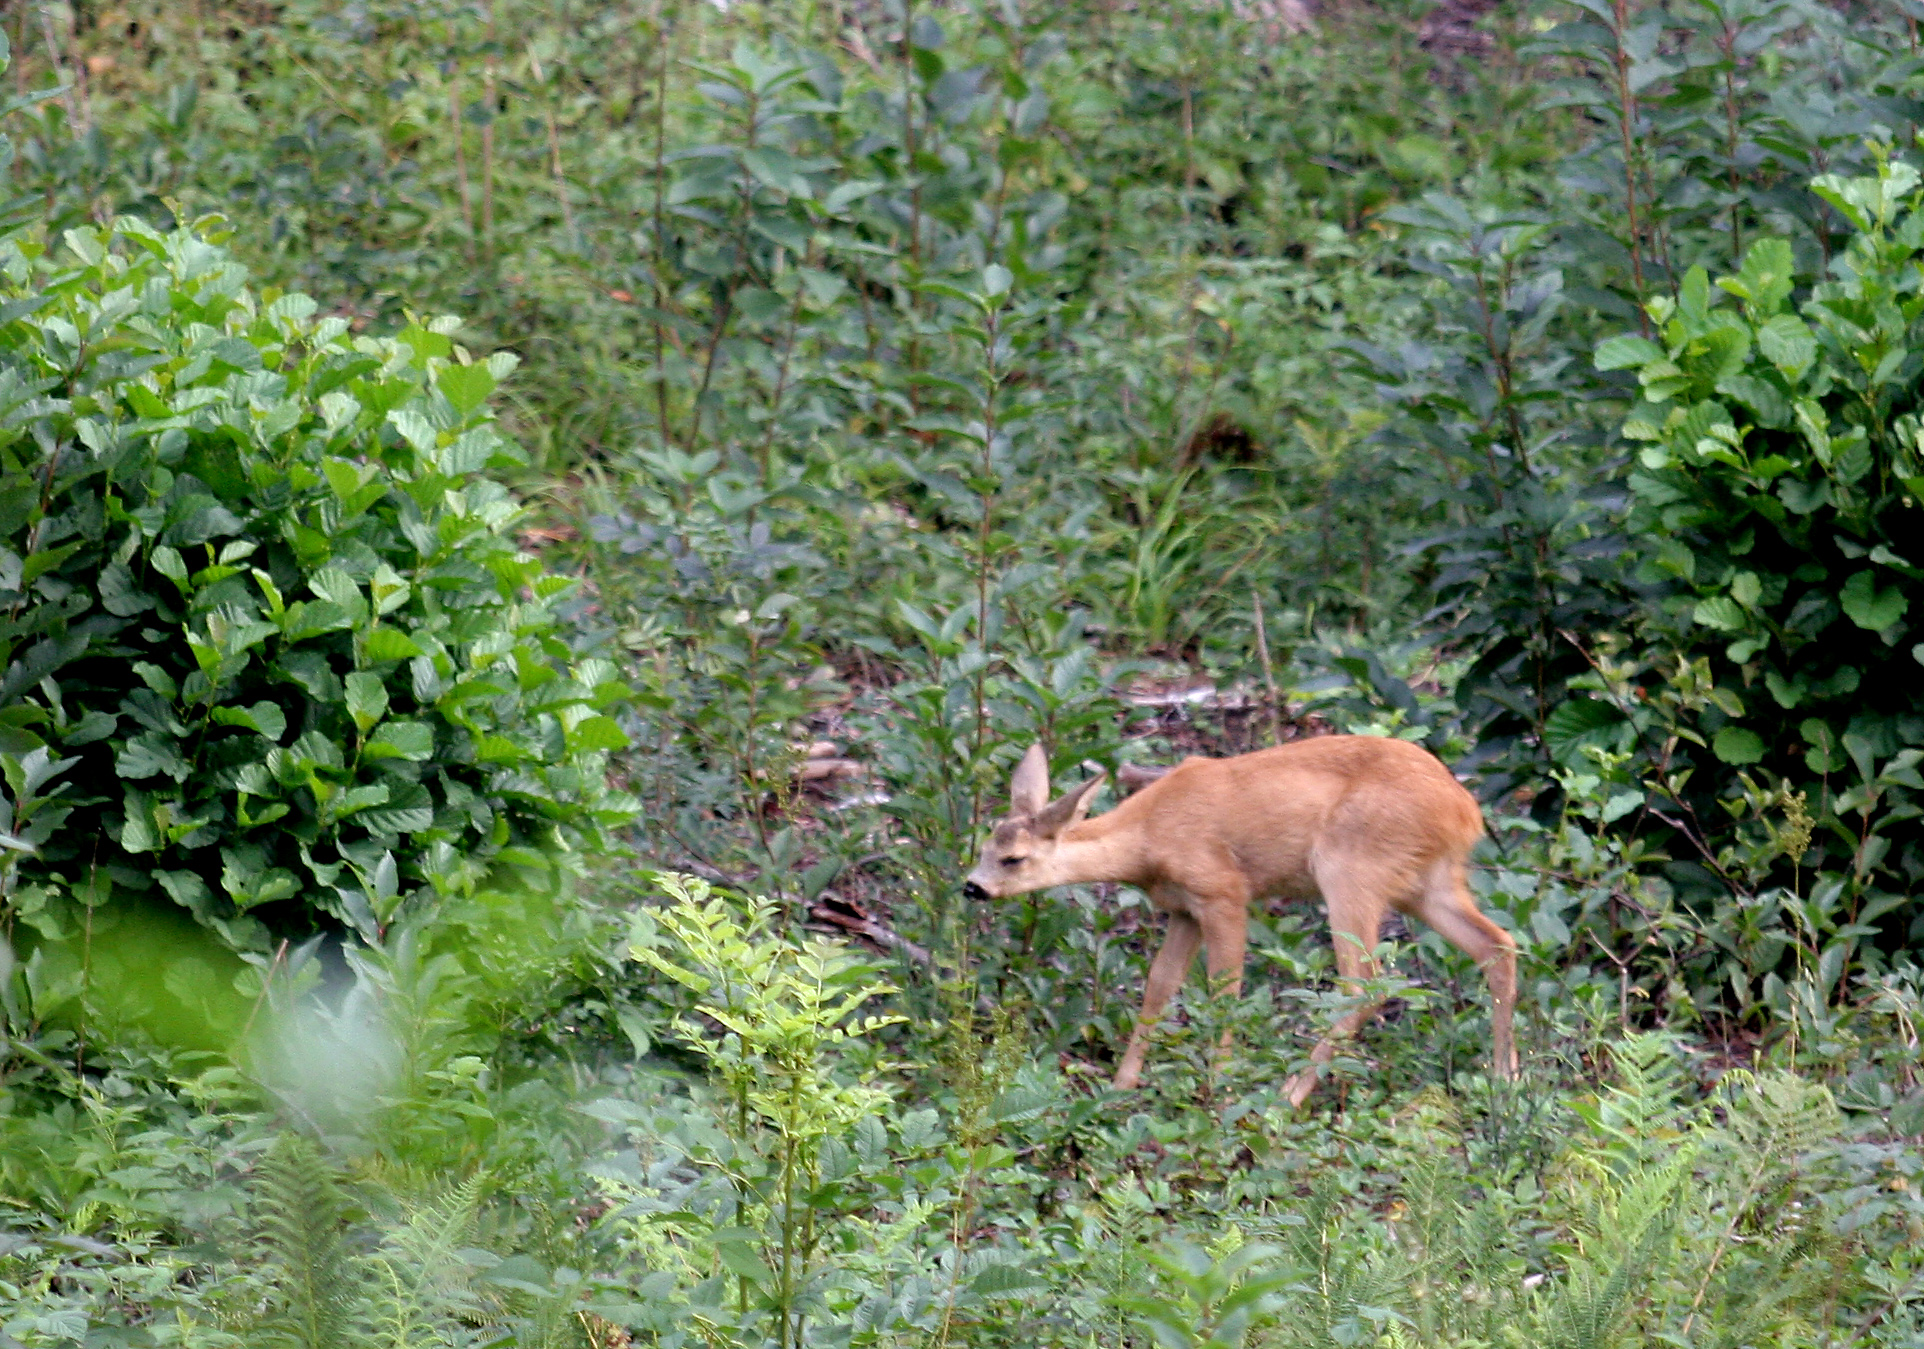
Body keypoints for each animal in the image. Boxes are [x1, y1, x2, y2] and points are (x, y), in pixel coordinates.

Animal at [962, 735, 1516, 1108]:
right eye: (985, 845)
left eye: (1013, 859)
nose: (973, 887)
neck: (1147, 840)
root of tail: (1465, 811)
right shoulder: (1183, 908)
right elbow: (1159, 985)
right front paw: (1121, 1086)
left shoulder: (1224, 891)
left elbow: (1224, 989)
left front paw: (1219, 1086)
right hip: (1429, 884)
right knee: (1498, 945)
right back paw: (1505, 1080)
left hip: (1351, 870)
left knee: (1363, 983)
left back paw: (1286, 1097)